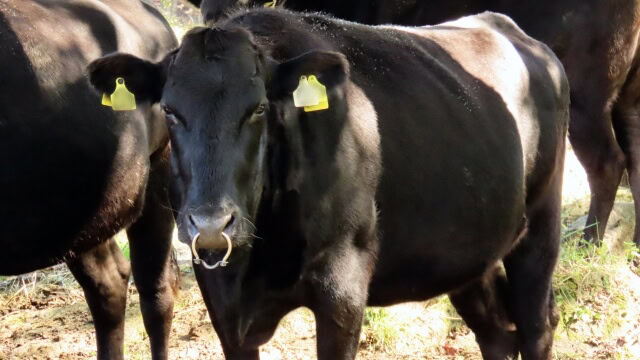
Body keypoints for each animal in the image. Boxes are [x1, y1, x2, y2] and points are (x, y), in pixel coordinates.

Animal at [87, 8, 568, 360]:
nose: (210, 224)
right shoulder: (221, 298)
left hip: (541, 226)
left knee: (536, 327)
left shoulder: (343, 286)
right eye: (169, 110)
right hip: (466, 251)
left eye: (258, 108)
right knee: (497, 331)